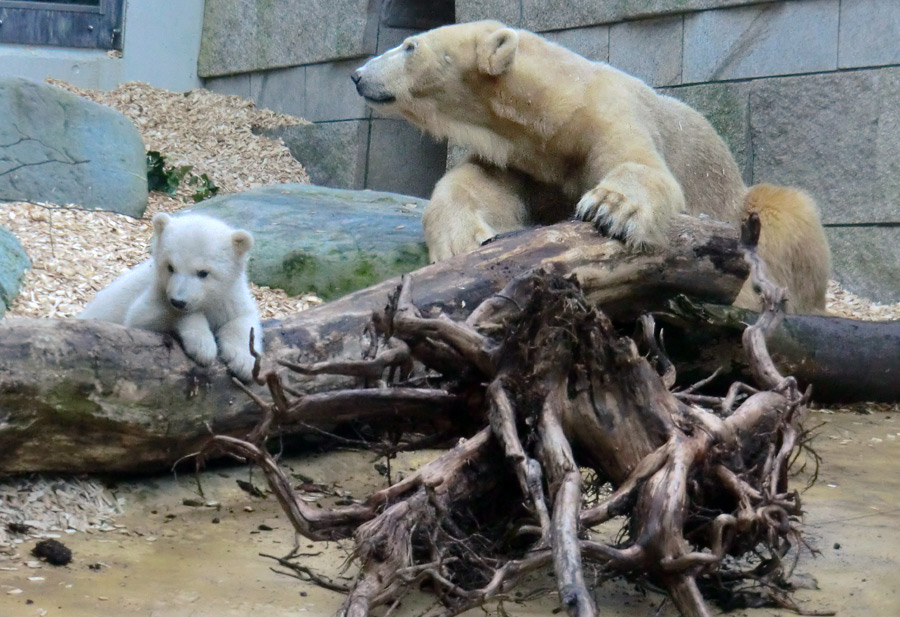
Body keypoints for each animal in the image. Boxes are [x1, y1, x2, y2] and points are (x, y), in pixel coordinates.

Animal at [356, 19, 832, 312]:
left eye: (409, 46)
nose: (358, 74)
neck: (554, 111)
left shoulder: (608, 115)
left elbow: (642, 165)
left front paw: (610, 209)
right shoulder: (525, 160)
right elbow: (479, 185)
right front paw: (460, 242)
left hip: (740, 203)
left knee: (786, 215)